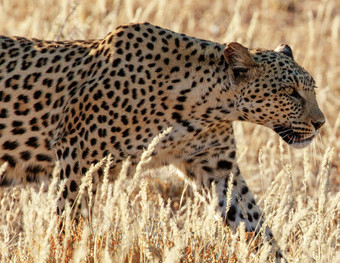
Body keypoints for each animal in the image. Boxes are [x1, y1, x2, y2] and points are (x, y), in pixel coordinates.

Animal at [0, 22, 324, 260]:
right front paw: (67, 252)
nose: (320, 123)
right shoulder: (78, 159)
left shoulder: (218, 167)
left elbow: (255, 224)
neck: (204, 106)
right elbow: (71, 222)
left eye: (312, 89)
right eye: (291, 92)